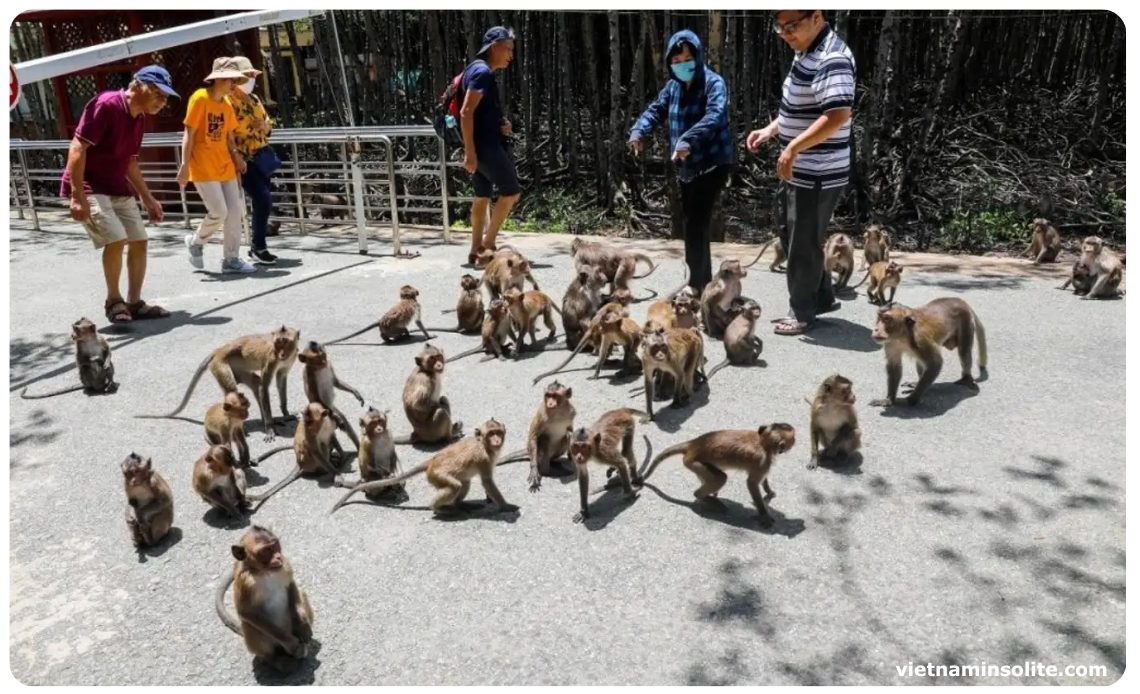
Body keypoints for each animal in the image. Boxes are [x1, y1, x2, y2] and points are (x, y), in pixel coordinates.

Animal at [136, 325, 303, 444]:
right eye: (277, 343)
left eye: (285, 342)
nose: (281, 353)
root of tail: (218, 350)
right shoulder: (271, 358)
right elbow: (264, 386)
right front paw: (269, 428)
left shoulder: (288, 361)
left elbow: (280, 379)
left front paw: (285, 413)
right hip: (220, 366)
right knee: (234, 390)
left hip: (236, 368)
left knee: (255, 382)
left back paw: (270, 419)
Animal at [638, 421, 798, 531]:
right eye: (793, 439)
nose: (796, 442)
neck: (762, 441)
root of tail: (694, 444)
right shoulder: (763, 461)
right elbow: (752, 483)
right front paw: (764, 514)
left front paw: (768, 491)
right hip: (692, 462)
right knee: (720, 478)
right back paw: (702, 497)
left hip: (693, 464)